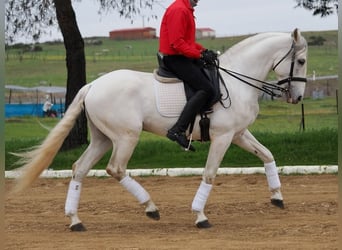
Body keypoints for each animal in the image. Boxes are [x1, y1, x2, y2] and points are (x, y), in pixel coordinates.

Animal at [12, 28, 308, 229]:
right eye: (302, 61)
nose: (297, 97)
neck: (236, 82)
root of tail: (93, 85)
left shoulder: (238, 134)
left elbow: (267, 154)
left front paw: (277, 197)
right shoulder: (223, 137)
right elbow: (210, 174)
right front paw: (200, 215)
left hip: (102, 139)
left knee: (80, 169)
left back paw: (75, 220)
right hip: (126, 137)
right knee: (116, 169)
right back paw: (150, 207)